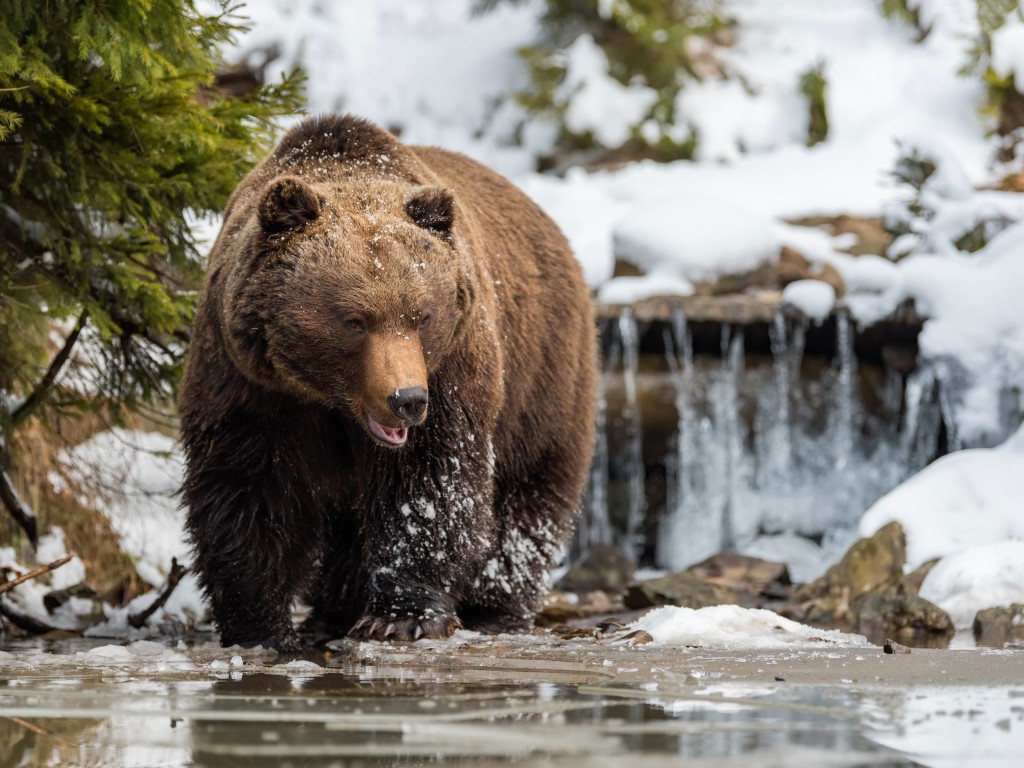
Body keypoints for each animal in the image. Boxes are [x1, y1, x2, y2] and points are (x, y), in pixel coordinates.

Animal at [180, 114, 598, 651]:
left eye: (422, 316)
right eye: (354, 321)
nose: (407, 400)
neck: (329, 399)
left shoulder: (451, 370)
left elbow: (428, 484)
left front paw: (402, 616)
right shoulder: (248, 379)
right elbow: (249, 485)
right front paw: (259, 626)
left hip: (543, 374)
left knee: (528, 492)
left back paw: (494, 608)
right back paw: (333, 611)